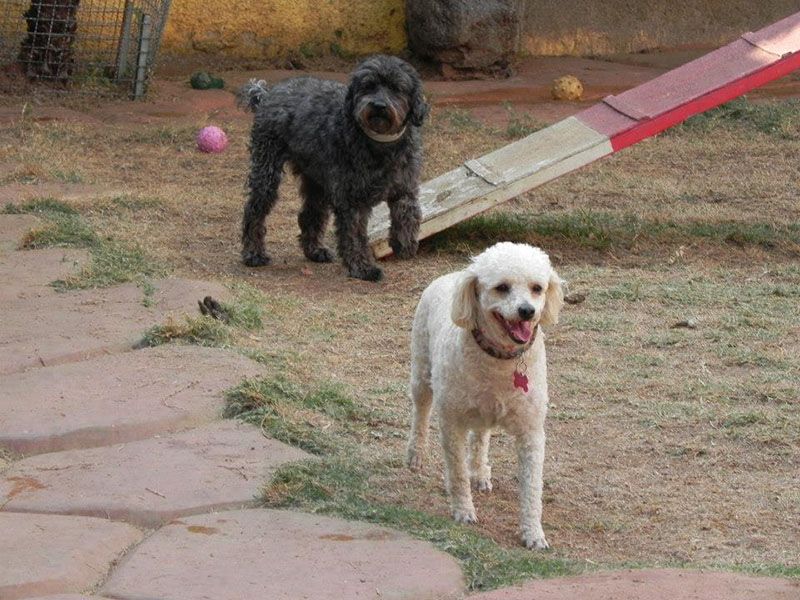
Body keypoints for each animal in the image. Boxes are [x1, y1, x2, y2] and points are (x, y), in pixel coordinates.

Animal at [237, 55, 429, 281]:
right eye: (368, 86)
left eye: (397, 88)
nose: (379, 105)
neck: (379, 144)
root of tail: (266, 94)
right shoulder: (352, 200)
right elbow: (354, 236)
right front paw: (362, 268)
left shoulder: (404, 188)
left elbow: (408, 213)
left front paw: (404, 244)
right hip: (267, 173)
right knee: (254, 212)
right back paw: (253, 254)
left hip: (317, 182)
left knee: (309, 215)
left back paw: (315, 250)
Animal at [406, 242, 564, 549]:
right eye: (502, 287)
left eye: (537, 288)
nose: (527, 311)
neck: (499, 359)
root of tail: (453, 274)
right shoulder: (452, 421)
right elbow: (456, 472)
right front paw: (463, 510)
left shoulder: (531, 431)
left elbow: (531, 488)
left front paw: (533, 533)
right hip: (422, 373)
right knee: (421, 413)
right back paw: (416, 455)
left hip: (482, 410)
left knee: (480, 437)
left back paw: (479, 474)